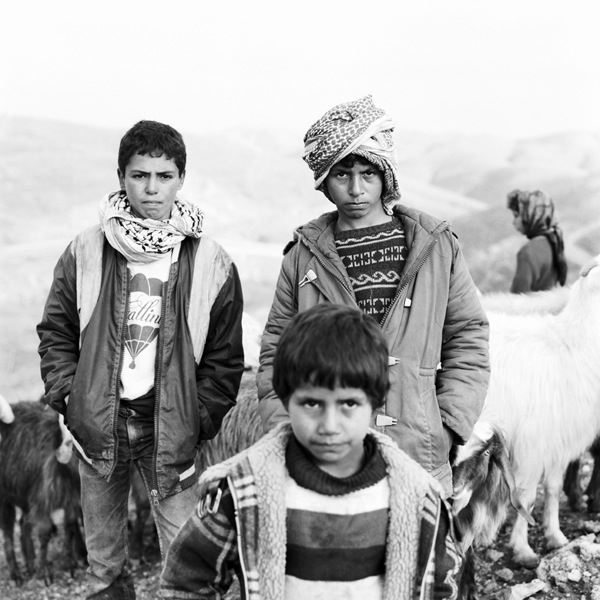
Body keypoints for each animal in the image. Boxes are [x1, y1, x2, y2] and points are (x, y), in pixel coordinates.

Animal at [0, 400, 85, 584]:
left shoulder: (71, 501)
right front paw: (45, 572)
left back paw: (30, 562)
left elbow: (70, 528)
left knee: (23, 524)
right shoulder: (41, 502)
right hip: (5, 500)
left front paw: (70, 565)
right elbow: (44, 533)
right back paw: (16, 574)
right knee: (8, 533)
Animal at [474, 256, 600, 568]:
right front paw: (522, 549)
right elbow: (527, 494)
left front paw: (555, 535)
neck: (573, 346)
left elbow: (553, 488)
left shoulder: (556, 441)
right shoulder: (533, 444)